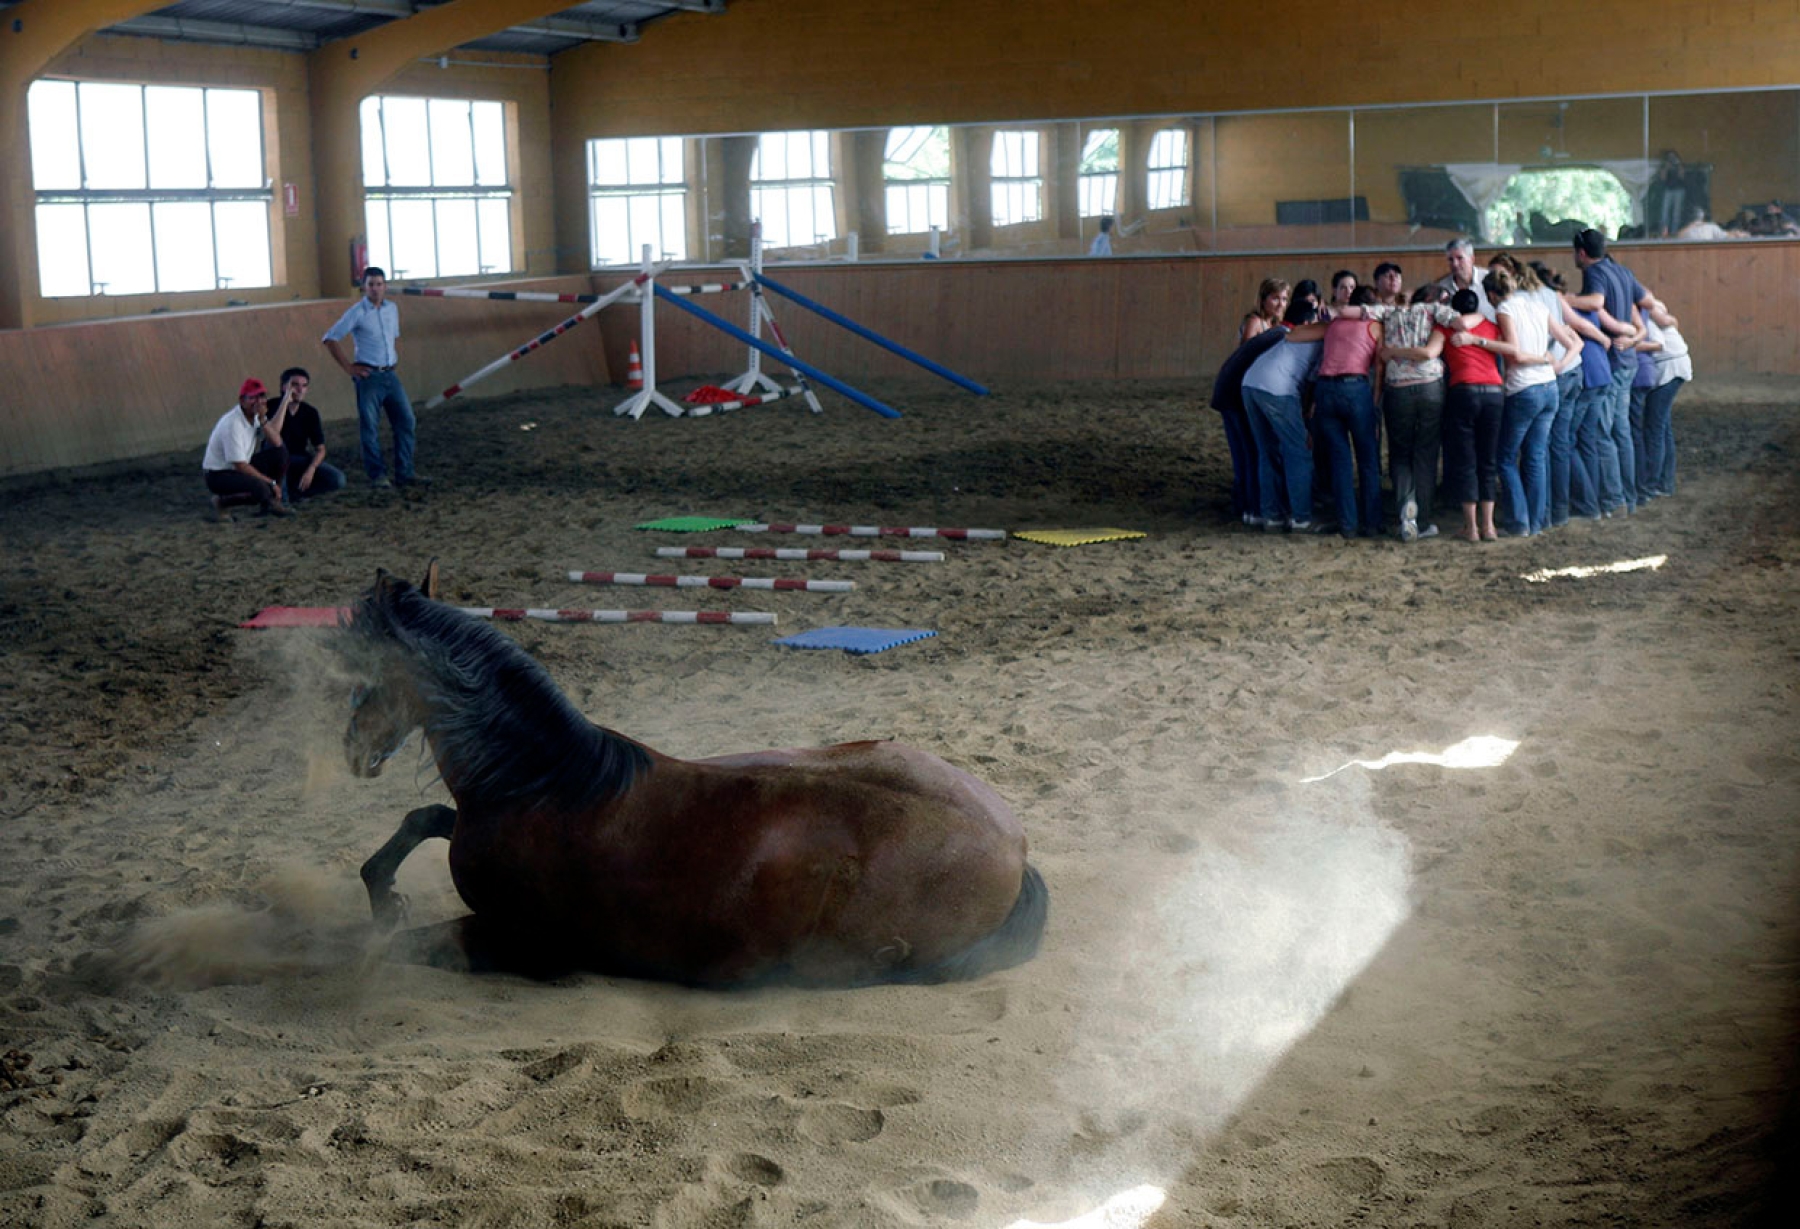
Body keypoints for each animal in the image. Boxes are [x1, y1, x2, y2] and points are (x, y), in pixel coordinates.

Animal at [338, 568, 1051, 993]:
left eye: (367, 665)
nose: (352, 749)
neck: (541, 784)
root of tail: (1013, 847)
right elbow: (424, 820)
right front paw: (385, 892)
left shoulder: (513, 939)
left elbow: (401, 944)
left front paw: (381, 921)